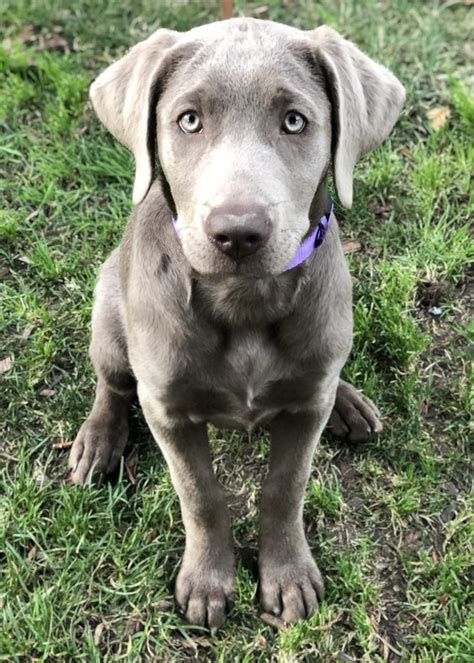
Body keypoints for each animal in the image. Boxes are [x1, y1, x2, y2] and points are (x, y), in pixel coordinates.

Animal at [67, 18, 404, 632]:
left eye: (294, 120)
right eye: (188, 120)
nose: (238, 233)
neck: (243, 300)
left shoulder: (304, 413)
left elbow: (284, 488)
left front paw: (287, 577)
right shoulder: (167, 410)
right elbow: (200, 495)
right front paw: (207, 582)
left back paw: (348, 402)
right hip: (107, 312)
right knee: (113, 382)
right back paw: (99, 441)